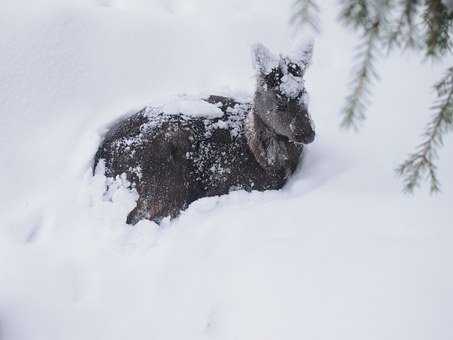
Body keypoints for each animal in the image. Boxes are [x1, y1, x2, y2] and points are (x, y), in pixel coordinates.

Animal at [93, 43, 314, 224]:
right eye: (280, 103)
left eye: (305, 95)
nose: (308, 134)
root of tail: (101, 159)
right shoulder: (239, 180)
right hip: (162, 176)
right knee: (139, 215)